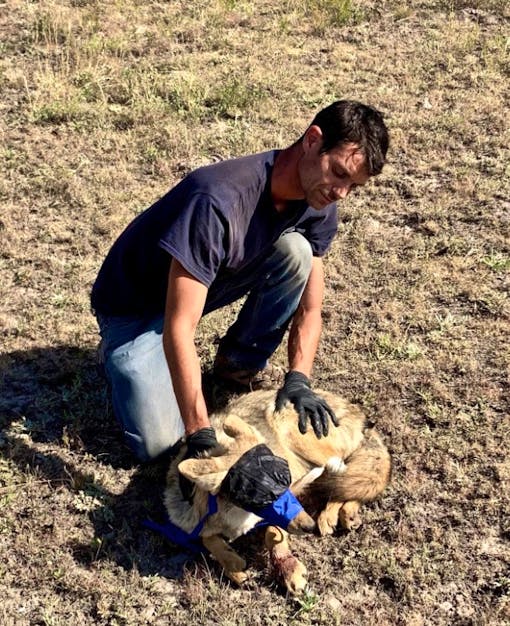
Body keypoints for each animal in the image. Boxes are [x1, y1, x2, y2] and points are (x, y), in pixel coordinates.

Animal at [163, 388, 390, 592]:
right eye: (263, 497)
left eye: (284, 479)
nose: (310, 527)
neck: (239, 518)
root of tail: (359, 414)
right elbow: (209, 540)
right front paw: (233, 565)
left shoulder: (294, 489)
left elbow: (272, 533)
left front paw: (289, 571)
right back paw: (345, 514)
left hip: (303, 442)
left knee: (345, 477)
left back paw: (331, 515)